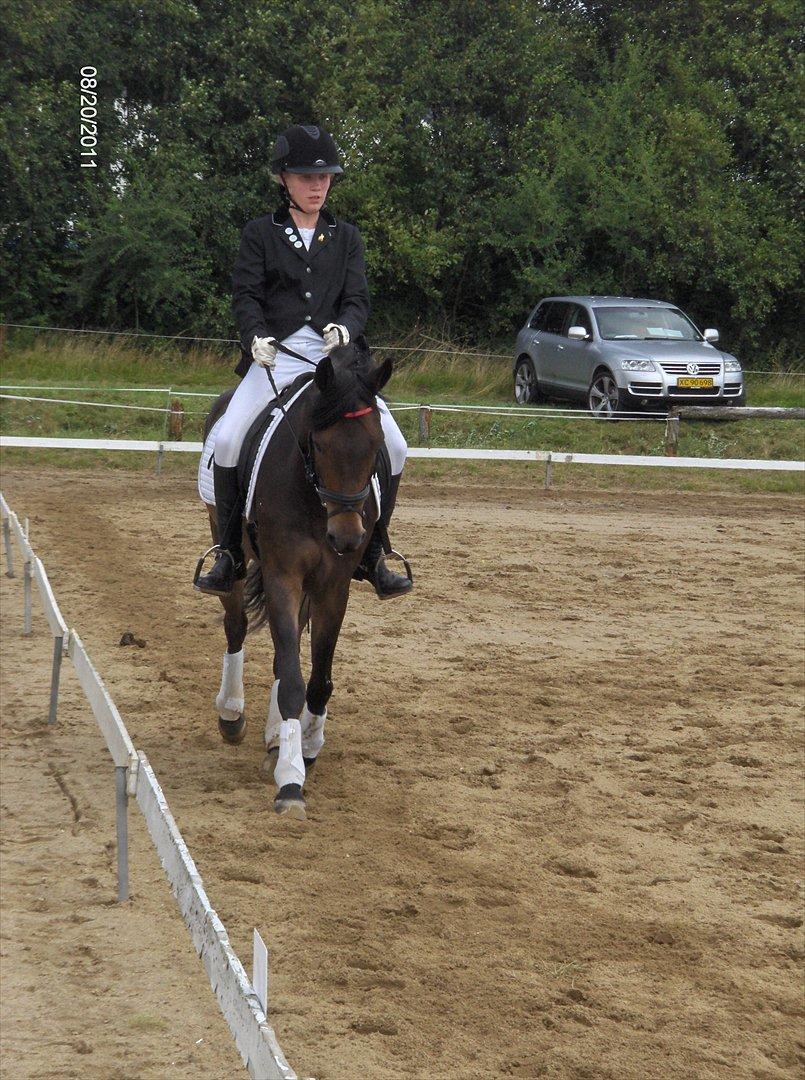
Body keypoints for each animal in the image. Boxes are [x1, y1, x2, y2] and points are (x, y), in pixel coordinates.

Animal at [198, 341, 394, 820]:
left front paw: (304, 746)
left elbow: (316, 677)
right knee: (235, 626)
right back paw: (232, 714)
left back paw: (274, 738)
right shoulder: (282, 575)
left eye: (376, 444)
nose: (347, 537)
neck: (314, 499)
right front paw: (290, 782)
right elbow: (291, 678)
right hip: (229, 546)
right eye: (318, 444)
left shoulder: (332, 585)